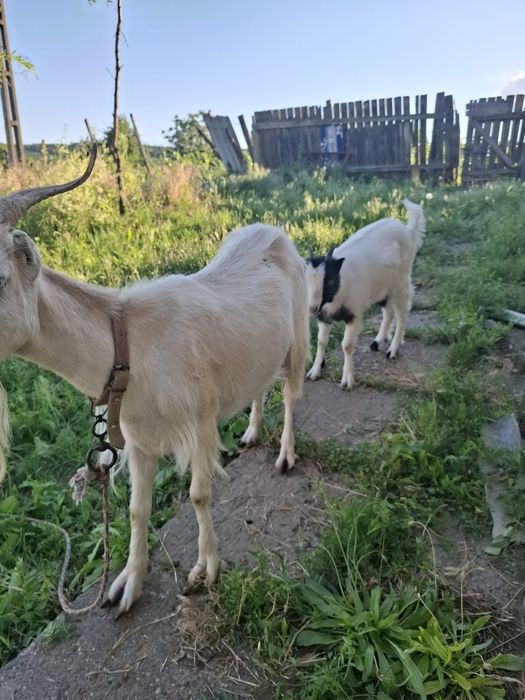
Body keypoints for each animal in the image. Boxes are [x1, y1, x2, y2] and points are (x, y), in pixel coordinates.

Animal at [0, 146, 309, 614]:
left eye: (0, 278)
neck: (129, 347)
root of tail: (272, 231)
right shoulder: (140, 441)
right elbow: (136, 510)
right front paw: (128, 584)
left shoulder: (199, 423)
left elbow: (198, 494)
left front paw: (206, 569)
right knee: (259, 384)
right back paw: (252, 431)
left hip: (297, 335)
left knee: (291, 395)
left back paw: (286, 455)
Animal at [305, 199, 425, 389]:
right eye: (306, 280)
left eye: (329, 281)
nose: (312, 308)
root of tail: (408, 231)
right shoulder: (324, 316)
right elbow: (321, 342)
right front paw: (314, 371)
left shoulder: (354, 313)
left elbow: (346, 345)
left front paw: (347, 381)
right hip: (382, 288)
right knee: (388, 311)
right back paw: (377, 341)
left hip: (401, 281)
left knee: (402, 312)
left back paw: (393, 350)